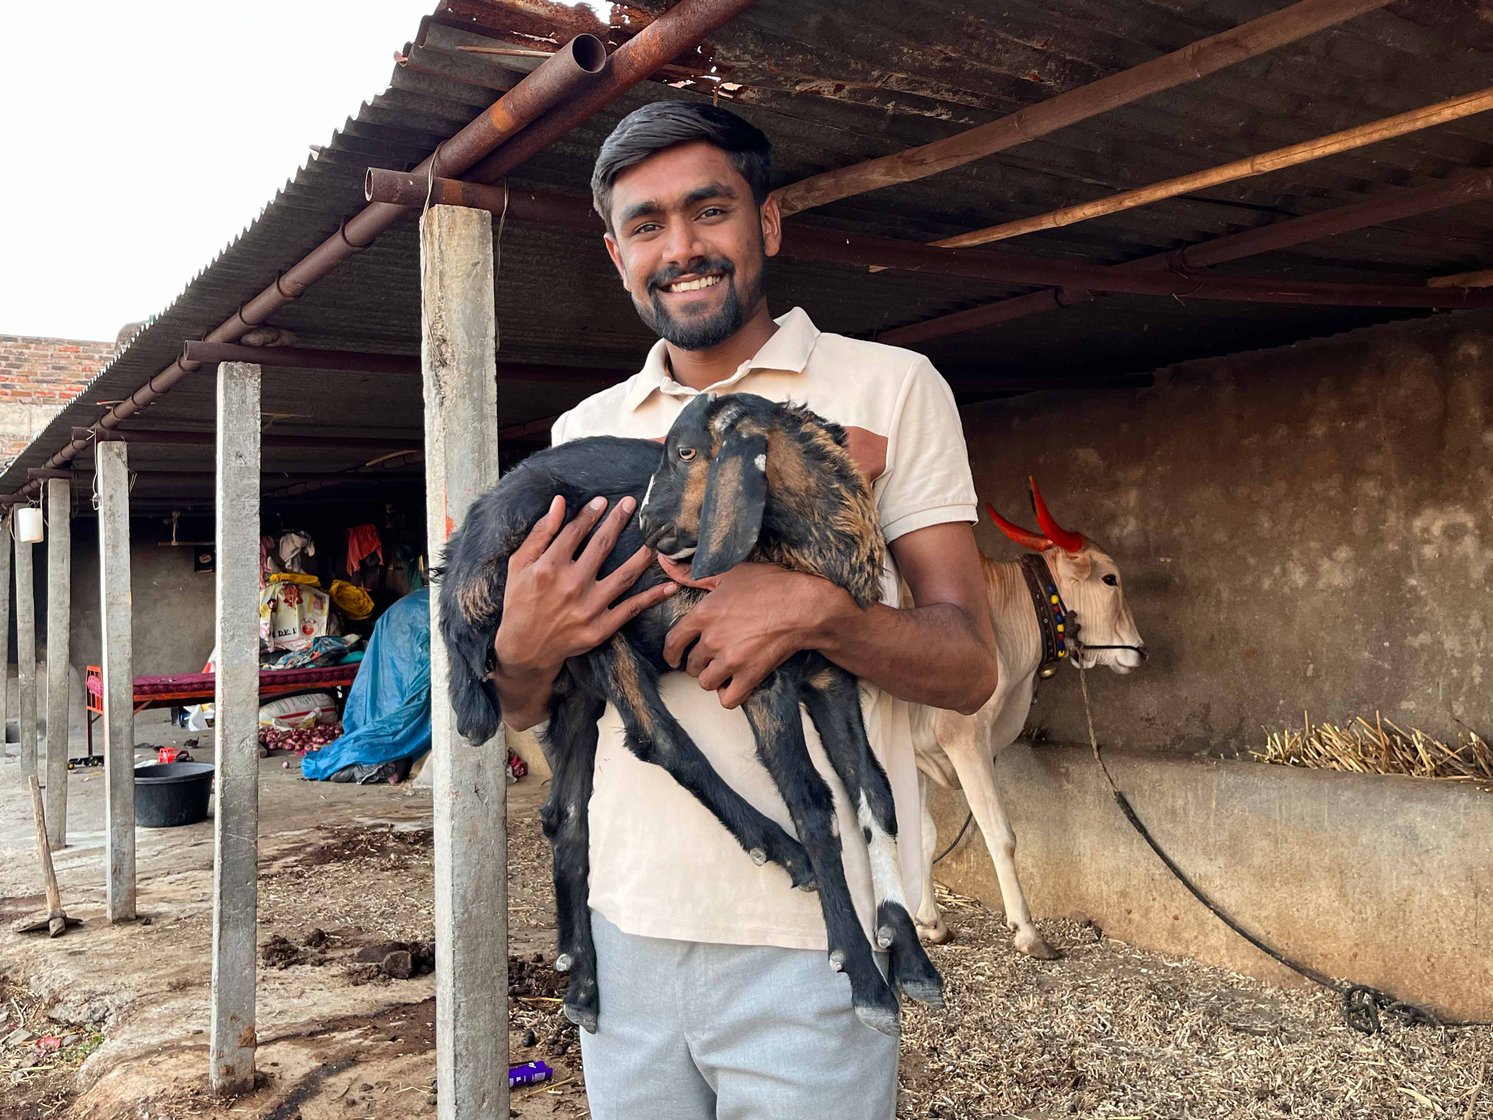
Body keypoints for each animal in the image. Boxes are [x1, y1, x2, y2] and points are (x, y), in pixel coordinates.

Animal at [907, 477, 1140, 961]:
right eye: (1110, 578)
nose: (1140, 650)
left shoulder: (915, 747)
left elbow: (923, 834)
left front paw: (930, 922)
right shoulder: (965, 740)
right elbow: (1001, 835)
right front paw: (1029, 932)